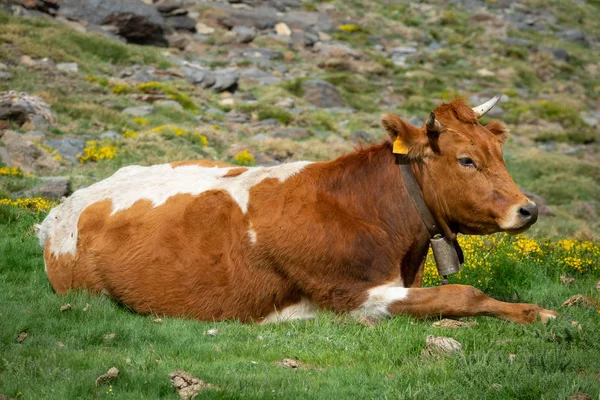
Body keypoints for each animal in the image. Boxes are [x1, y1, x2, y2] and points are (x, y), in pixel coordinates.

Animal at [38, 96, 556, 324]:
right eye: (466, 160)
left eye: (498, 151)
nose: (528, 209)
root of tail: (60, 212)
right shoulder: (351, 295)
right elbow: (464, 294)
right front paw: (537, 313)